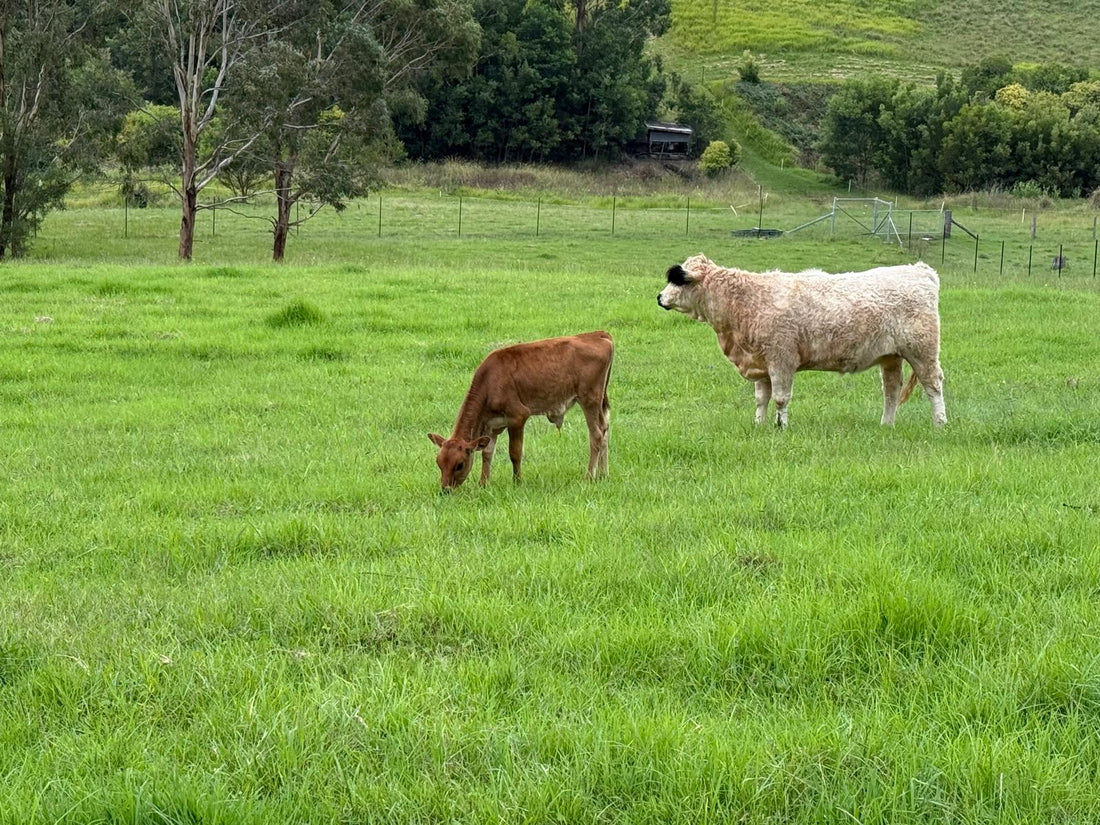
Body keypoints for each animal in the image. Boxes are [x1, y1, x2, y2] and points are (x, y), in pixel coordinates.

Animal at [428, 331, 614, 490]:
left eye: (459, 465)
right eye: (438, 463)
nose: (445, 490)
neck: (490, 382)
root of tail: (598, 334)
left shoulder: (517, 416)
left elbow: (515, 452)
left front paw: (517, 482)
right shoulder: (493, 425)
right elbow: (487, 453)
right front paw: (483, 483)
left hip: (589, 399)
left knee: (596, 435)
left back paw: (589, 476)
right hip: (600, 403)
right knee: (605, 430)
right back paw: (603, 474)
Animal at [657, 254, 946, 428]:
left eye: (678, 280)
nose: (659, 297)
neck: (747, 300)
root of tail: (920, 271)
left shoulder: (781, 359)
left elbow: (780, 398)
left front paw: (781, 426)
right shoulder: (761, 363)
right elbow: (761, 398)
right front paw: (758, 424)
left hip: (923, 351)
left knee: (933, 386)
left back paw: (940, 423)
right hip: (890, 357)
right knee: (891, 390)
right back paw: (886, 424)